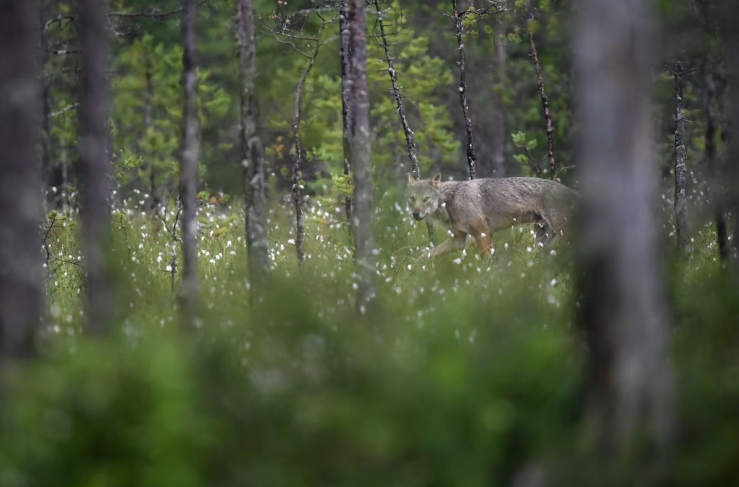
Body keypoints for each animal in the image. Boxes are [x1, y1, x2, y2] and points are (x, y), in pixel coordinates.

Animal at [408, 173, 580, 262]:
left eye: (425, 199)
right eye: (412, 199)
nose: (415, 214)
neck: (451, 199)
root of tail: (572, 191)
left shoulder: (482, 233)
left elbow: (487, 261)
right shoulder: (459, 241)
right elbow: (425, 255)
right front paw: (412, 268)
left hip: (564, 237)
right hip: (542, 242)